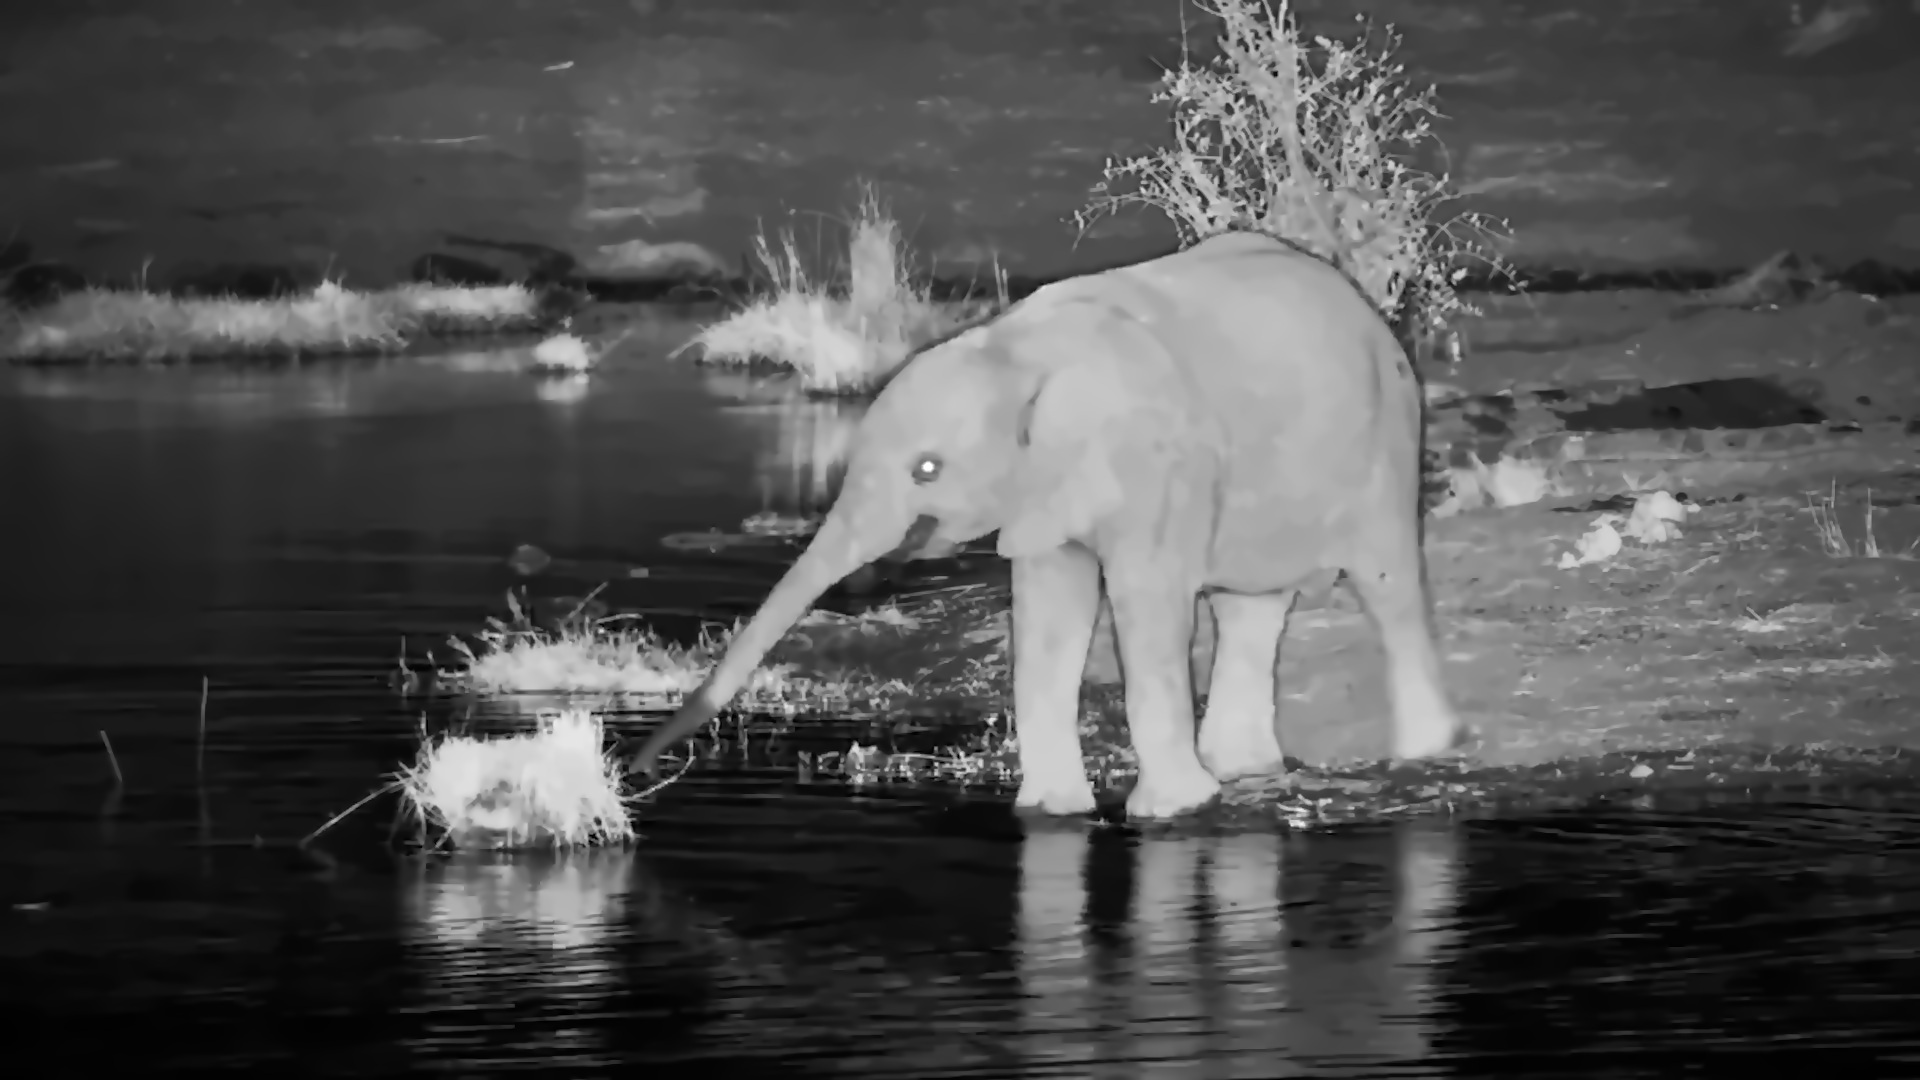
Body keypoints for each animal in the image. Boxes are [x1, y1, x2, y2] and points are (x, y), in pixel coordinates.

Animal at [626, 231, 1466, 820]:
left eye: (926, 469)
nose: (639, 772)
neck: (1014, 351)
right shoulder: (1044, 487)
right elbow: (1048, 612)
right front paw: (1049, 814)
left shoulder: (1158, 462)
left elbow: (1145, 605)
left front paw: (1170, 814)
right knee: (1250, 607)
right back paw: (1246, 773)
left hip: (1387, 439)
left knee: (1388, 586)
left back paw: (1422, 759)